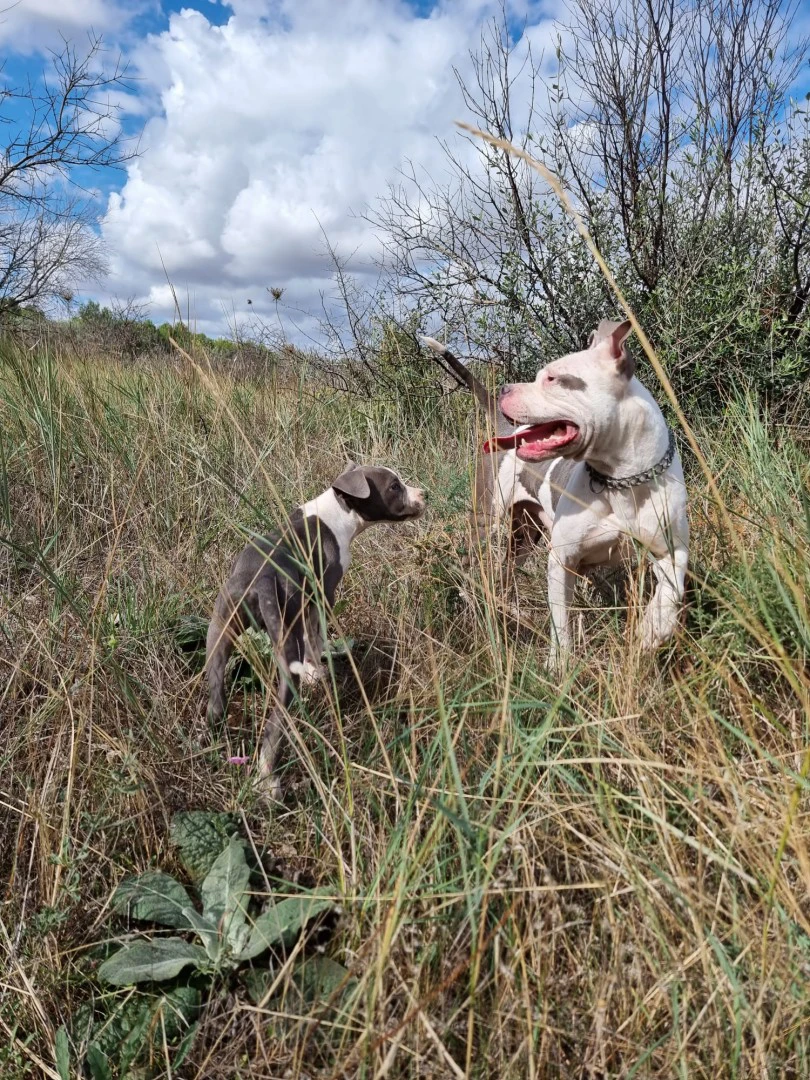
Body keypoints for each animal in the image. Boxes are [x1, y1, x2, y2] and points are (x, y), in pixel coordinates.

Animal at [206, 460, 427, 799]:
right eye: (394, 486)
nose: (424, 494)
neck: (337, 511)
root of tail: (260, 580)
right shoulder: (323, 597)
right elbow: (316, 639)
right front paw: (317, 672)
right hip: (285, 652)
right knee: (276, 724)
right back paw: (268, 780)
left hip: (218, 630)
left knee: (216, 696)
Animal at [488, 317, 691, 665]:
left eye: (552, 378)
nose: (504, 388)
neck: (622, 480)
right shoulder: (561, 560)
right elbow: (561, 622)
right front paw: (559, 664)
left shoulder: (671, 549)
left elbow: (671, 589)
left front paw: (654, 627)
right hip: (494, 523)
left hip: (525, 534)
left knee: (510, 570)